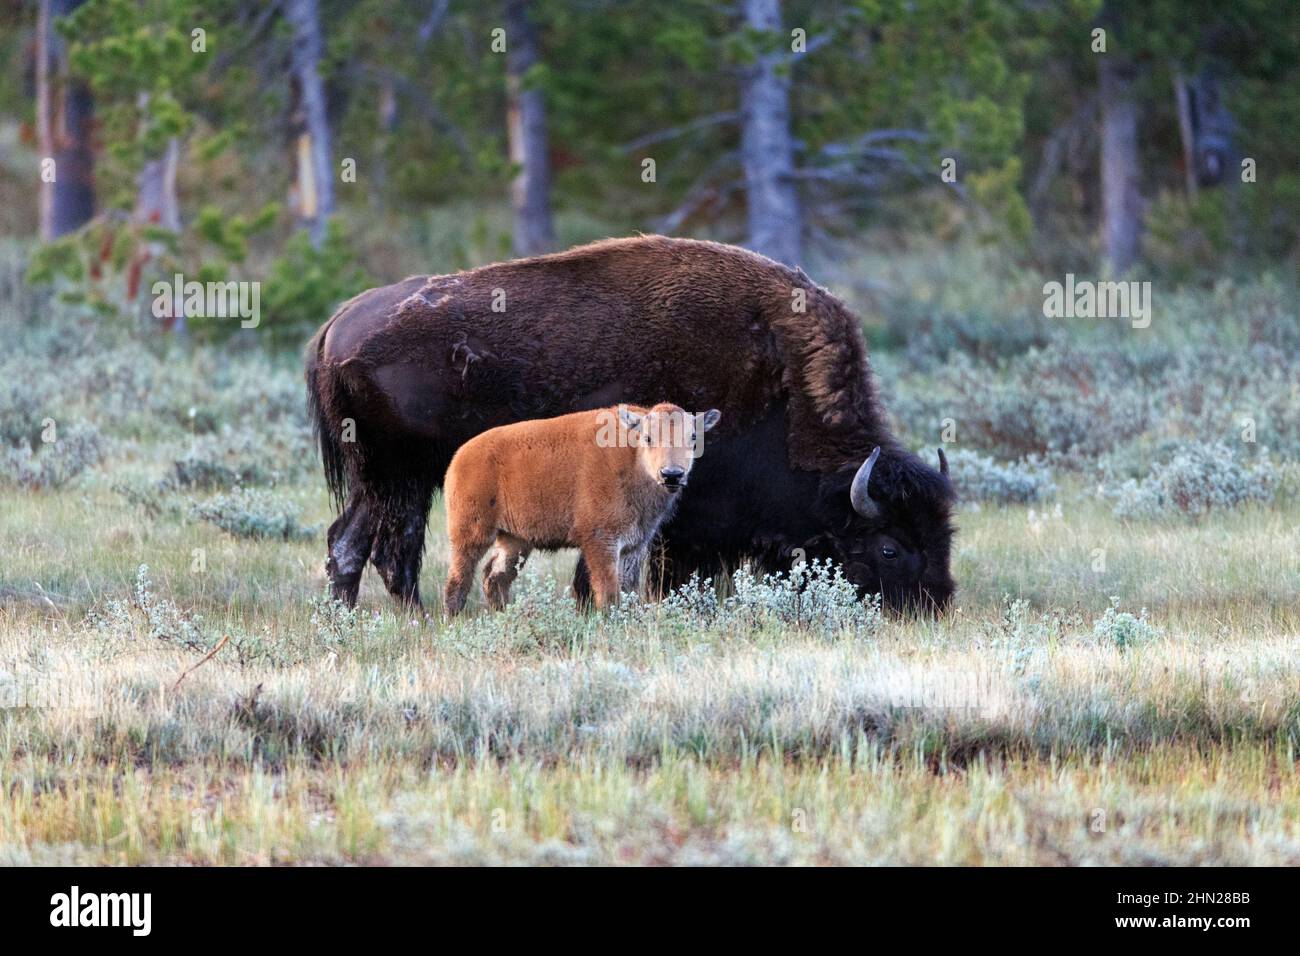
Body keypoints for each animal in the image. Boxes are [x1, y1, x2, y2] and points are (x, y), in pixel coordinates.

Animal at [441, 403, 717, 613]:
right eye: (648, 438)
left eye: (693, 438)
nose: (672, 474)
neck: (633, 457)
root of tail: (461, 456)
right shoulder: (601, 542)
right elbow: (608, 592)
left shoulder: (634, 545)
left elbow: (628, 588)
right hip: (471, 535)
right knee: (458, 581)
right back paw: (454, 619)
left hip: (515, 540)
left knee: (495, 577)